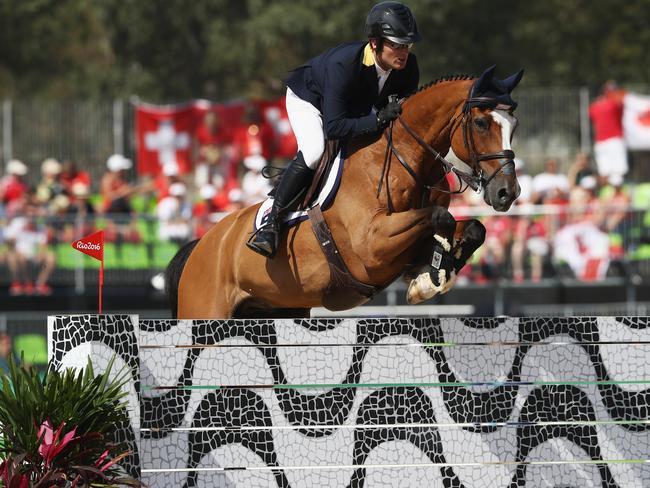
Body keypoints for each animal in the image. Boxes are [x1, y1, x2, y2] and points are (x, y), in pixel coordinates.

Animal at [167, 66, 520, 322]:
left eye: (513, 125)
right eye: (480, 123)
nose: (508, 193)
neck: (407, 160)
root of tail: (201, 245)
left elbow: (473, 228)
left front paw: (429, 277)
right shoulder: (372, 247)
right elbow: (440, 217)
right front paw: (430, 278)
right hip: (205, 315)